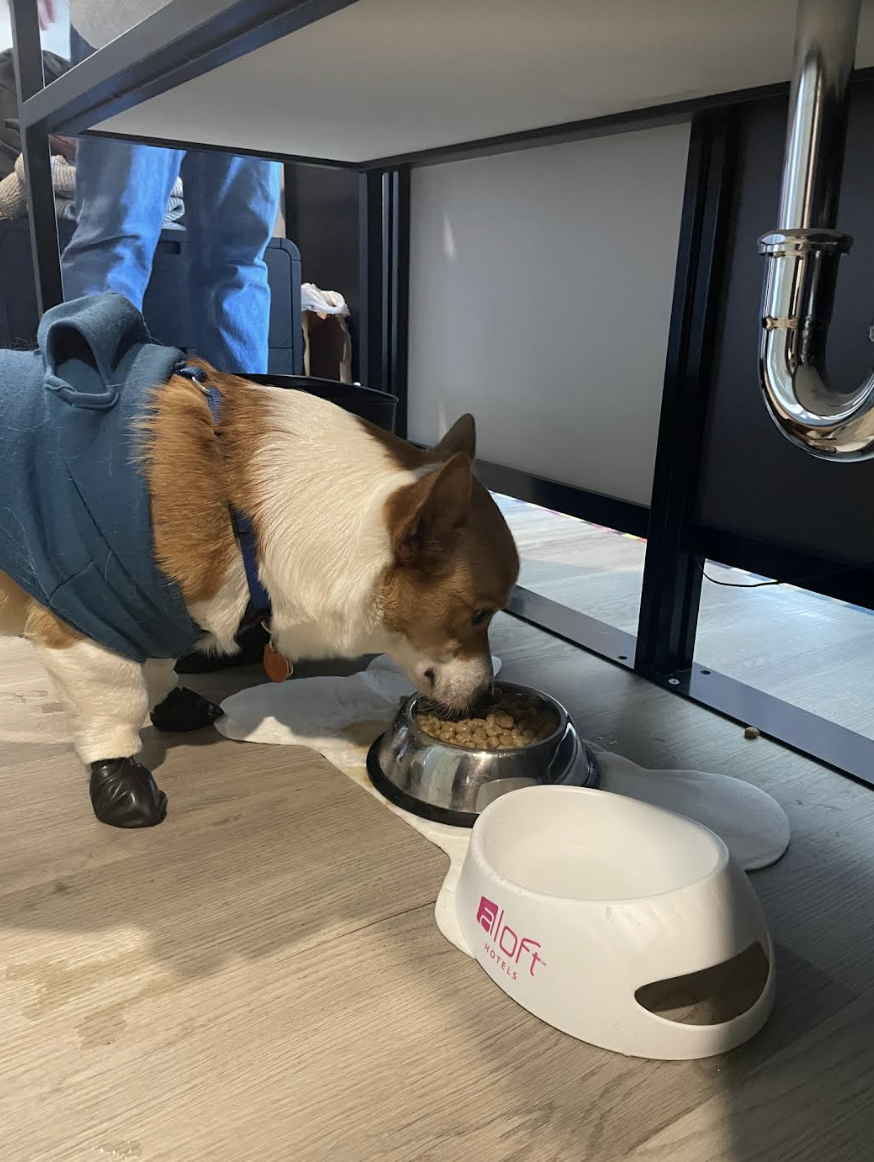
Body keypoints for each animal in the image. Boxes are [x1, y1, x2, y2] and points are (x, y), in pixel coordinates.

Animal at [0, 297, 518, 827]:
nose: (487, 696)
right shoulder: (87, 622)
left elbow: (159, 668)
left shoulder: (153, 611)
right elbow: (115, 704)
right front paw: (120, 780)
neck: (243, 511)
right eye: (480, 613)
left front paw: (173, 704)